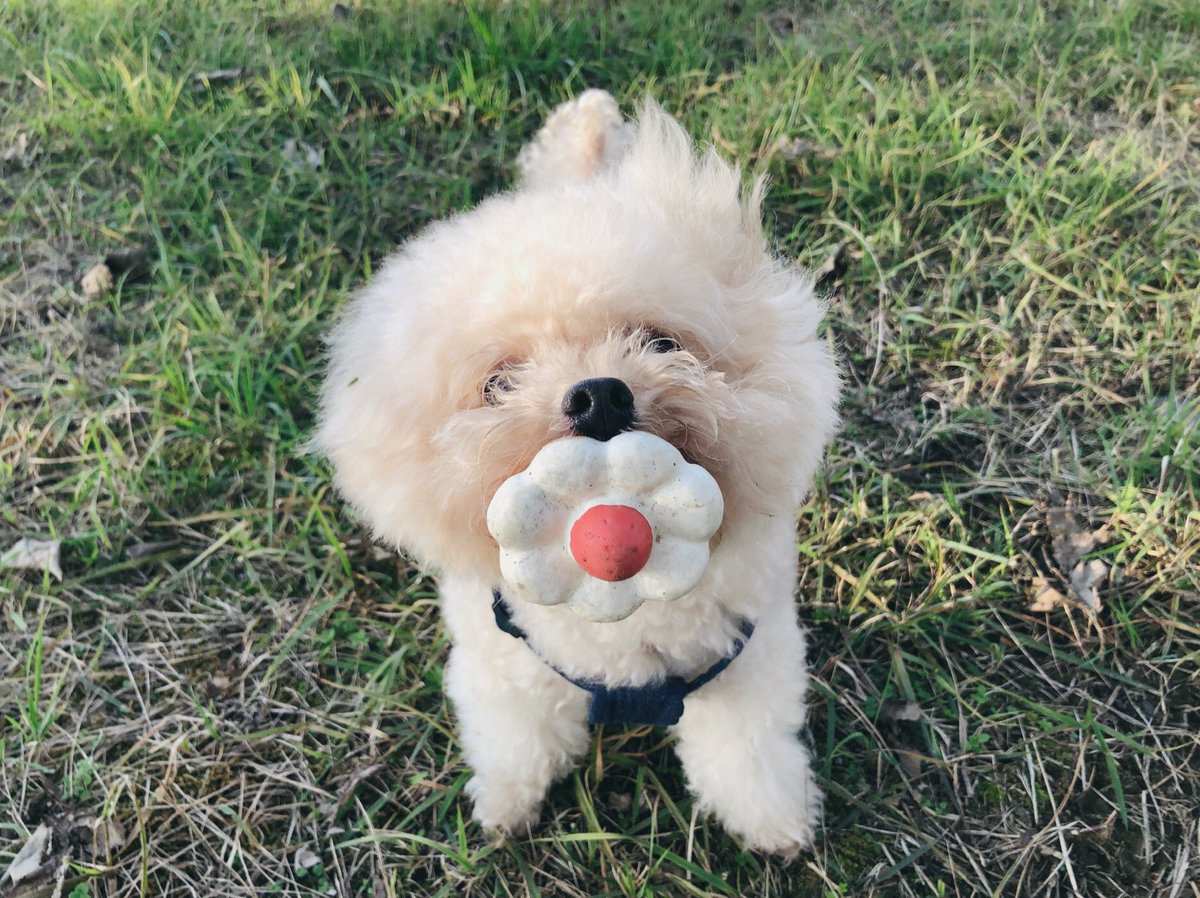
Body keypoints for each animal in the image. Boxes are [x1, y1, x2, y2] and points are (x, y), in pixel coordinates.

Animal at [319, 91, 844, 854]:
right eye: (498, 384)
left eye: (660, 342)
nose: (599, 396)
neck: (619, 614)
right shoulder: (505, 668)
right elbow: (517, 736)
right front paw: (505, 805)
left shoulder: (751, 658)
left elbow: (747, 750)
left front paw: (774, 820)